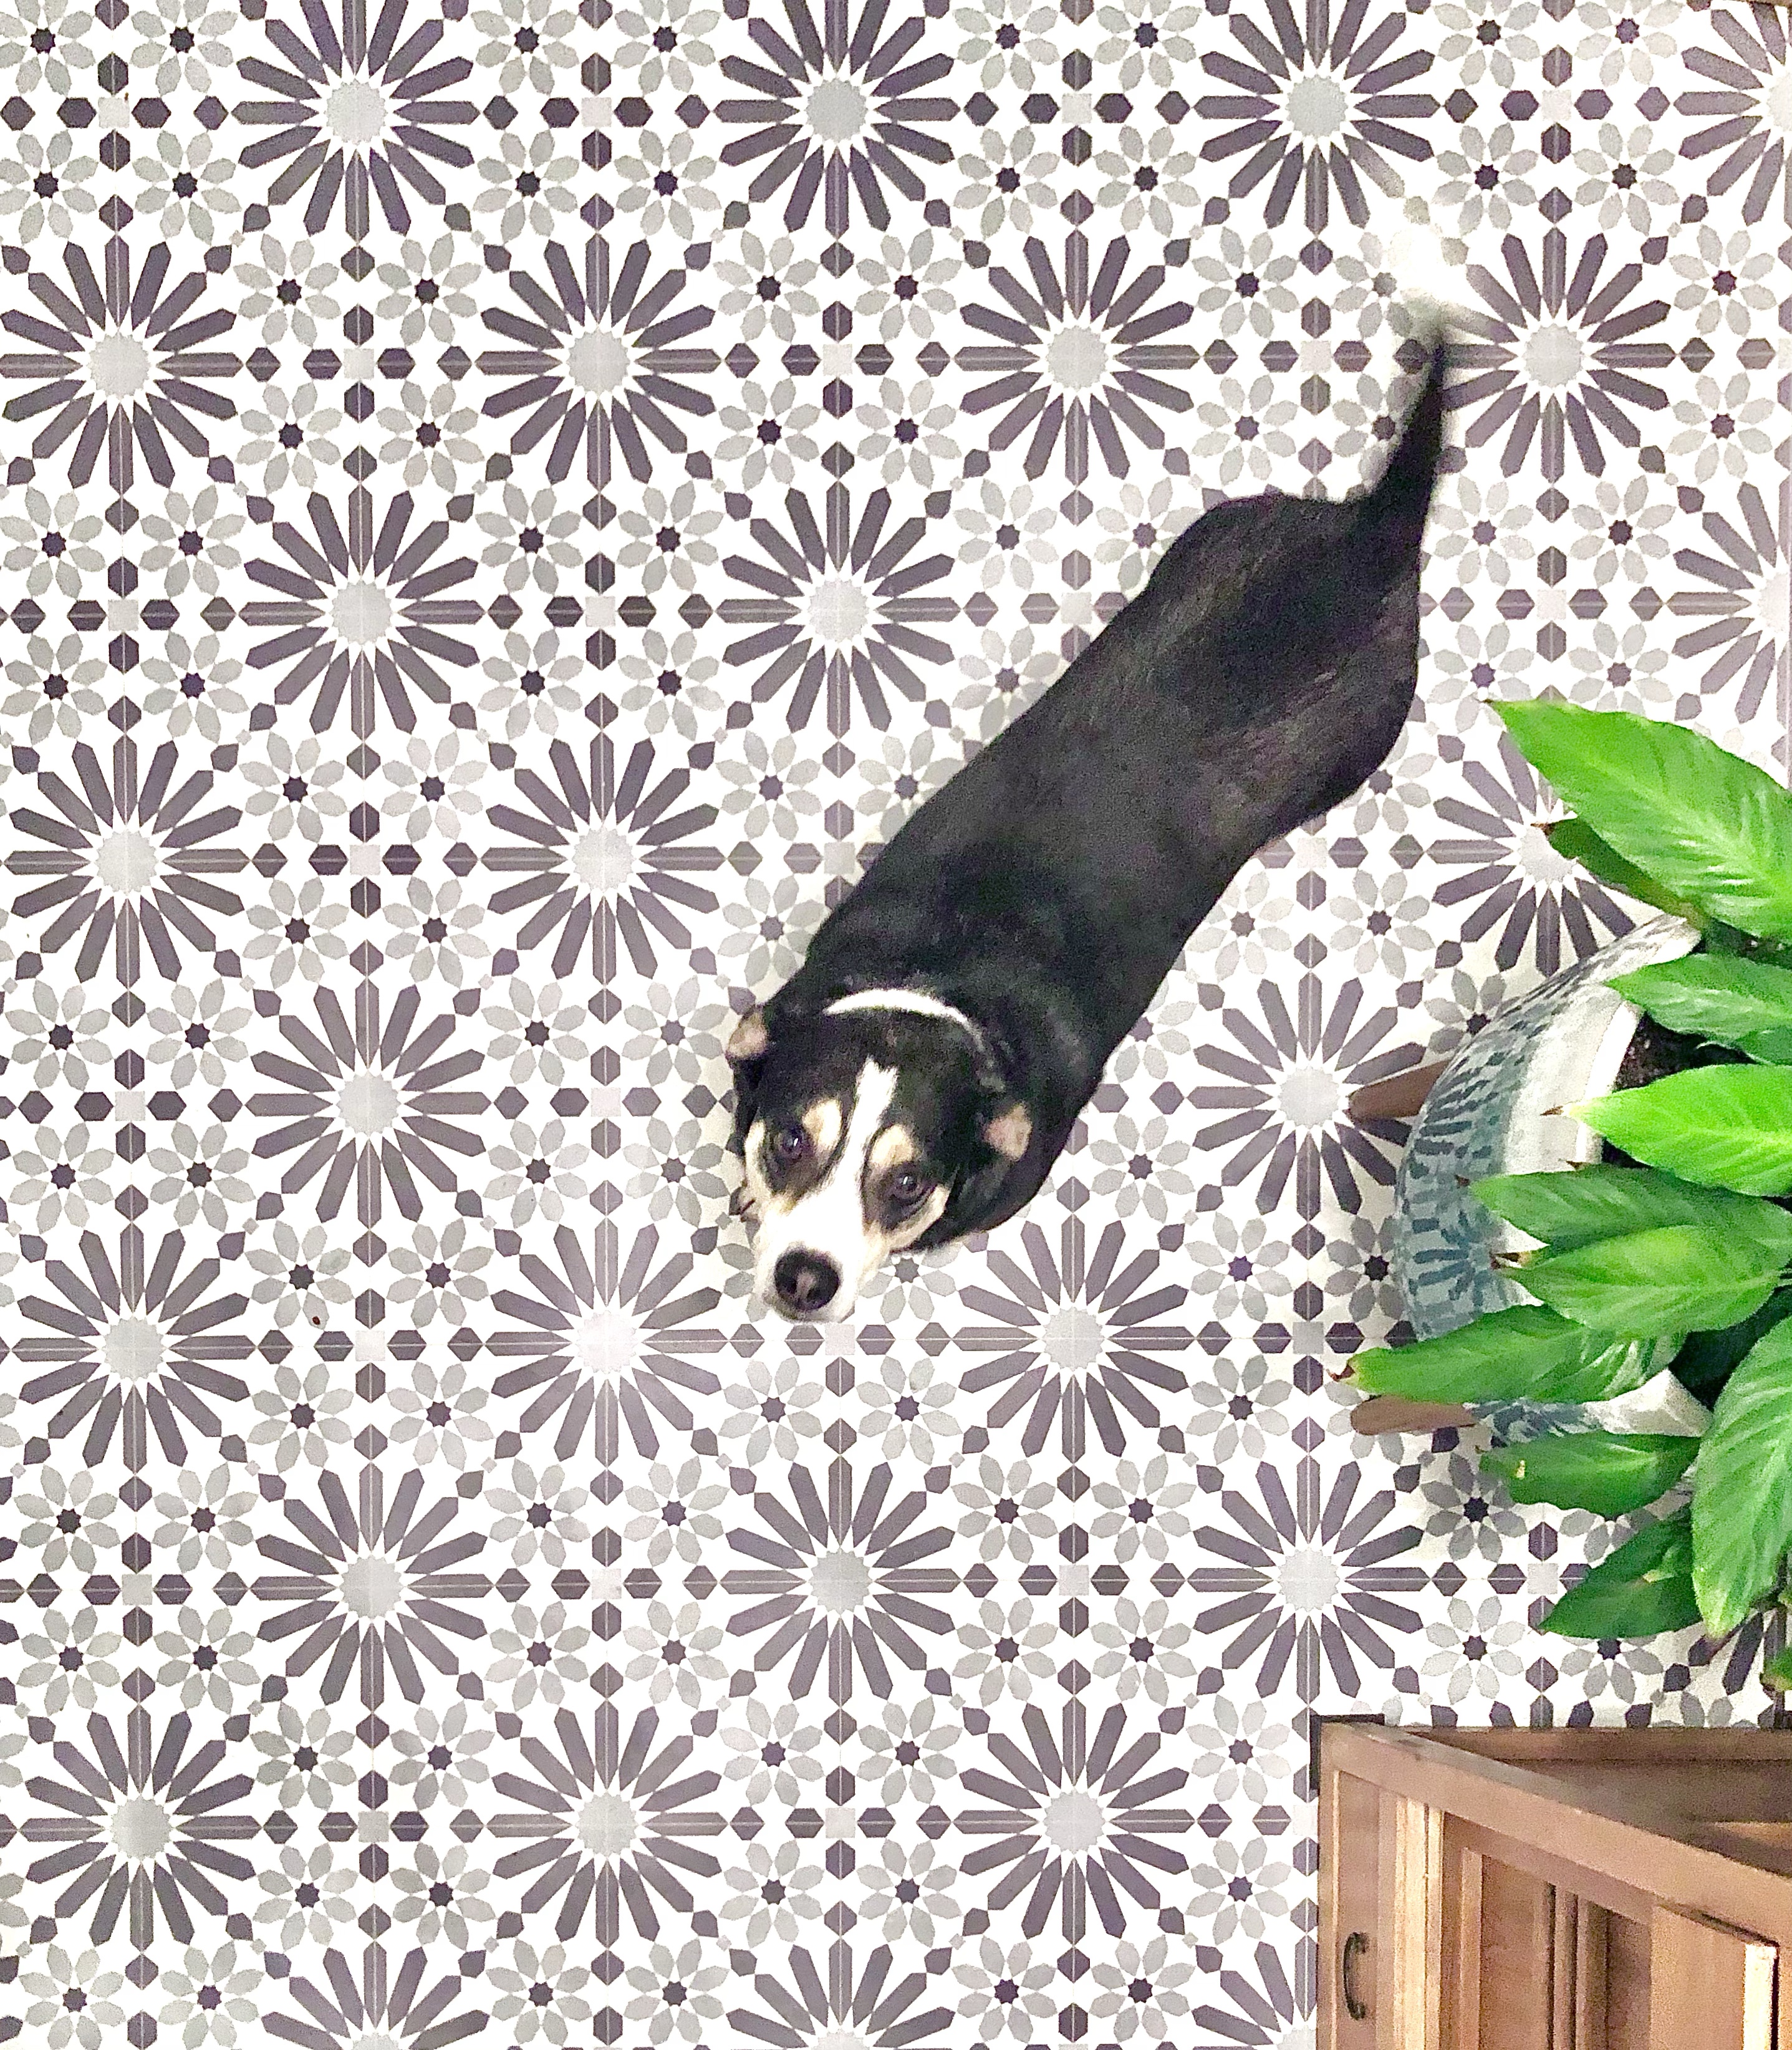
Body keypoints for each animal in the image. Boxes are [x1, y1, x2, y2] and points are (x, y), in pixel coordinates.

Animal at [728, 332, 1448, 1322]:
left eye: (906, 1186)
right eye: (789, 1142)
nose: (805, 1281)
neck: (944, 985)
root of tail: (1372, 533)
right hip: (1206, 540)